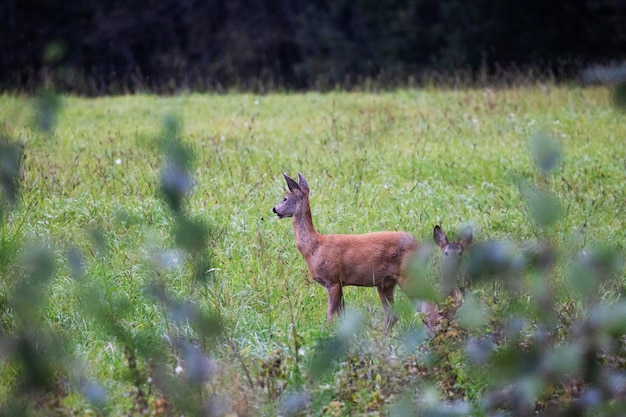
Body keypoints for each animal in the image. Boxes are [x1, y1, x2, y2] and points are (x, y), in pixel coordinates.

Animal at [270, 172, 470, 328]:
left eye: (285, 198)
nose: (274, 209)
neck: (314, 247)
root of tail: (421, 246)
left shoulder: (333, 280)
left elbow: (330, 316)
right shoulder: (340, 283)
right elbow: (342, 316)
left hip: (409, 276)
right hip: (386, 283)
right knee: (393, 316)